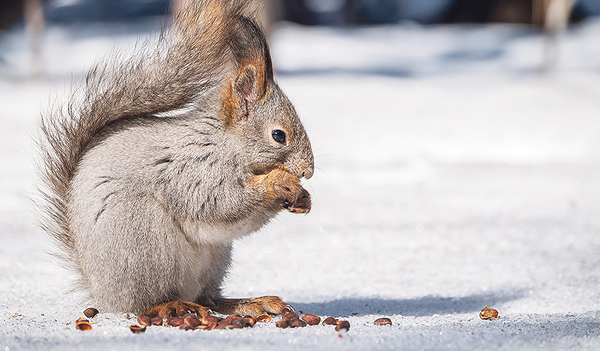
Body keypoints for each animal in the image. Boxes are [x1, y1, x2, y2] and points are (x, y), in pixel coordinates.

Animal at [38, 0, 314, 320]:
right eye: (279, 135)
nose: (308, 171)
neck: (224, 143)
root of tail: (102, 292)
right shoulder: (190, 169)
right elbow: (219, 203)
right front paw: (278, 181)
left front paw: (304, 198)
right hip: (144, 243)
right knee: (146, 303)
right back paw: (173, 305)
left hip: (214, 258)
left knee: (210, 299)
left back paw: (250, 303)